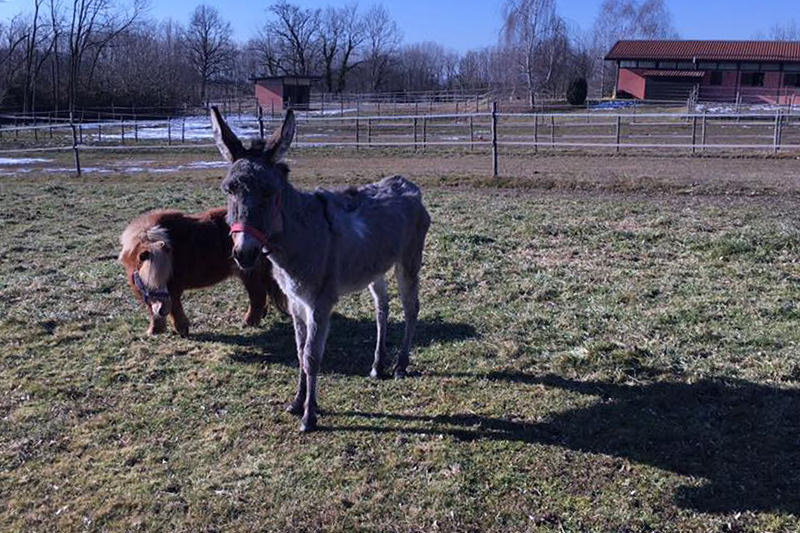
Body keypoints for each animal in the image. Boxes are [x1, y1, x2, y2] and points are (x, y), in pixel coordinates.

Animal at [118, 207, 288, 336]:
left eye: (165, 276)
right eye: (147, 280)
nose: (162, 309)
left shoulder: (173, 289)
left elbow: (175, 308)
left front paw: (181, 329)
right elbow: (153, 311)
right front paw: (155, 330)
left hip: (249, 273)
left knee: (257, 295)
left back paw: (249, 322)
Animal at [210, 106, 430, 432]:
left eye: (269, 192)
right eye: (228, 190)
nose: (244, 253)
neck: (297, 236)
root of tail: (407, 183)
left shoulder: (320, 302)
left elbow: (312, 356)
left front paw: (309, 415)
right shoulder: (296, 301)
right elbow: (300, 351)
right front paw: (296, 402)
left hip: (409, 258)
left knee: (411, 307)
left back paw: (401, 365)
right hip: (375, 267)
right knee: (383, 308)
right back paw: (377, 365)